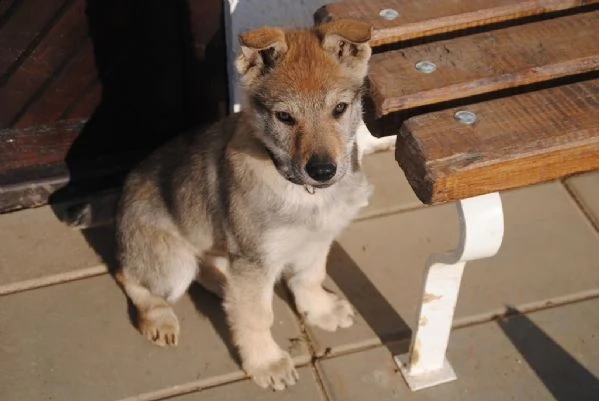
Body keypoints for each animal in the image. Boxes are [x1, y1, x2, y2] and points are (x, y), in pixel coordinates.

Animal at [117, 19, 376, 390]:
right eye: (284, 117)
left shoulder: (316, 240)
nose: (323, 171)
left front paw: (321, 311)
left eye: (339, 109)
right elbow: (257, 317)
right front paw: (266, 363)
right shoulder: (255, 259)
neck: (303, 193)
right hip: (173, 265)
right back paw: (161, 319)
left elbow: (310, 277)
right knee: (129, 275)